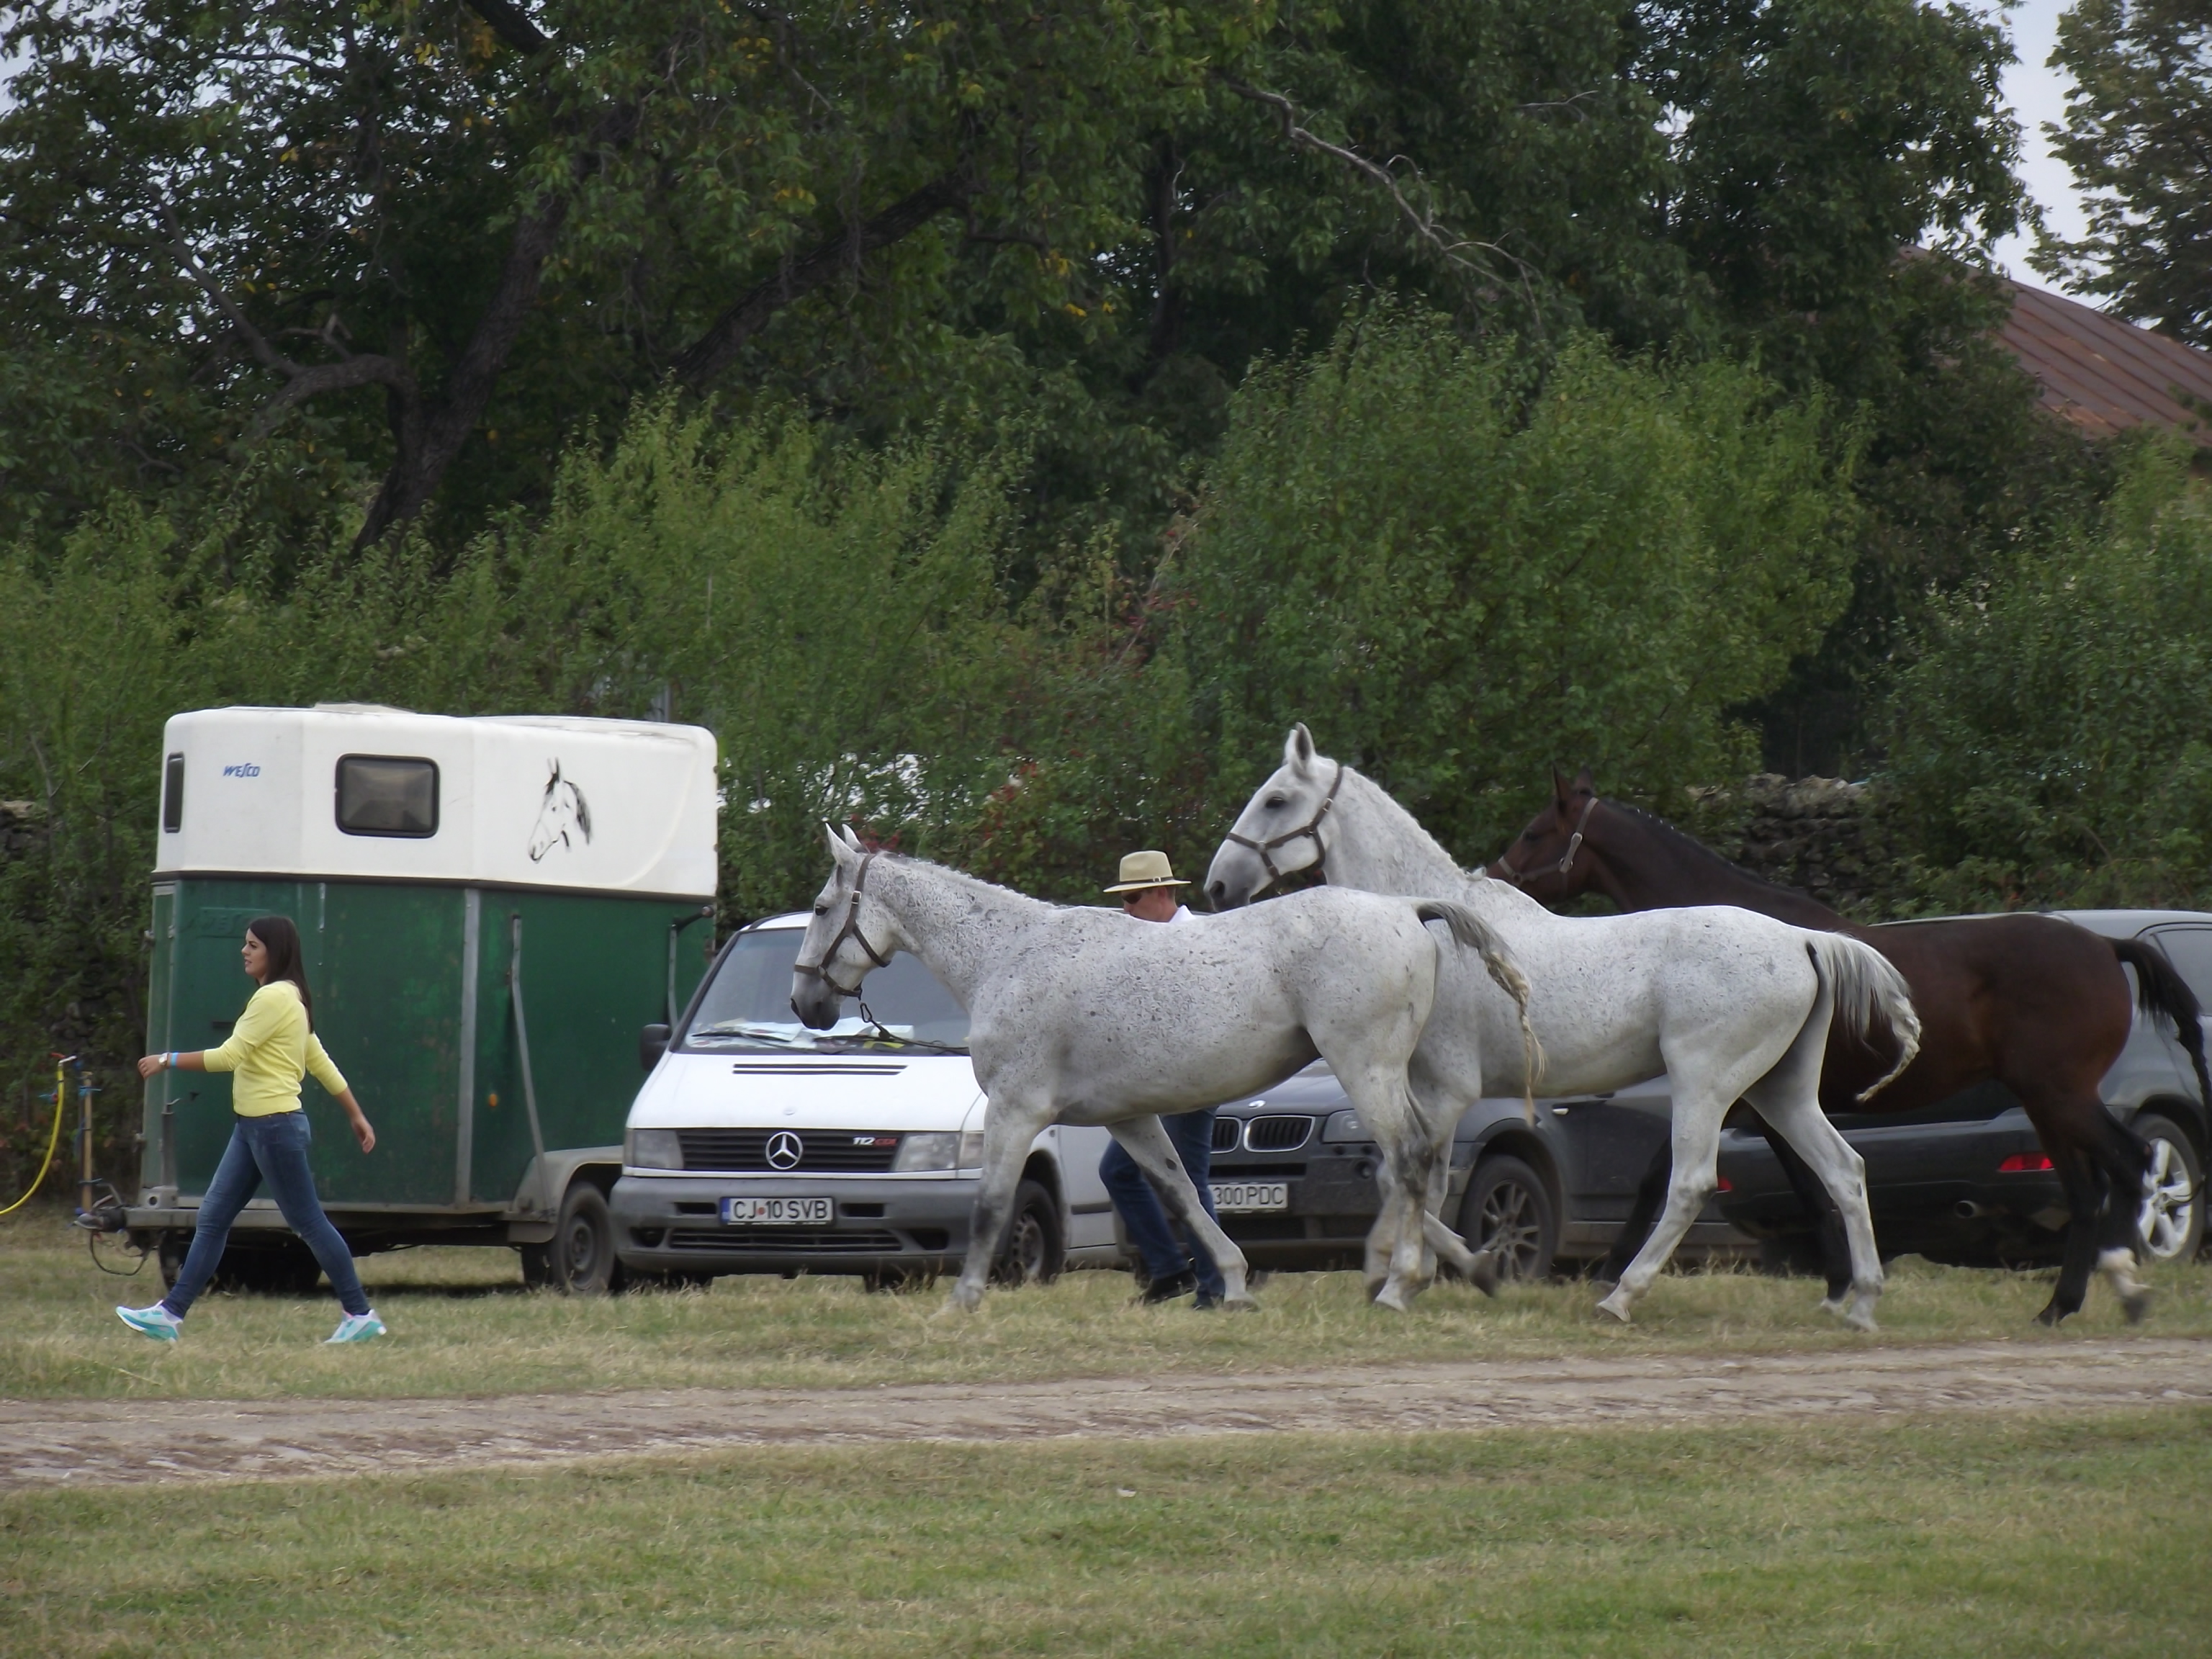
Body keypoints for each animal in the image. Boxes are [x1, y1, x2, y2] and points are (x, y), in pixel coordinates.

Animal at [791, 827, 1539, 1309]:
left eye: (823, 909)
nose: (806, 1003)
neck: (1005, 957)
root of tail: (1404, 909)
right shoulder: (1129, 1119)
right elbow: (1179, 1190)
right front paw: (1232, 1282)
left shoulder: (1015, 1110)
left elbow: (991, 1204)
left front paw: (964, 1299)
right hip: (1388, 1074)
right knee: (1417, 1163)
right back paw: (1465, 1266)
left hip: (1366, 1067)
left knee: (1407, 1159)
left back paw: (1400, 1283)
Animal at [1212, 734, 1920, 1336]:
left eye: (1276, 800)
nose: (1220, 885)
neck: (1425, 923)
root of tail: (1803, 941)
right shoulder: (1416, 1086)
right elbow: (1410, 1181)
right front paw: (1436, 1270)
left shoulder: (1445, 1091)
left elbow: (1413, 1178)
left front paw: (1407, 1278)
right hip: (1781, 1090)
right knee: (1844, 1171)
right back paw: (1860, 1304)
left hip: (1706, 1084)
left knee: (1691, 1183)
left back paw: (1621, 1297)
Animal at [1495, 774, 2203, 1336]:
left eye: (1534, 832)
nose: (1498, 878)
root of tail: (2106, 948)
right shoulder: (1767, 1102)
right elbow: (1815, 1186)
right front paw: (1842, 1289)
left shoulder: (1733, 1097)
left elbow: (1670, 1179)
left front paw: (1613, 1275)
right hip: (2047, 1103)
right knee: (2087, 1191)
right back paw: (2064, 1305)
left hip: (2060, 1096)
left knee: (2132, 1164)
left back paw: (2124, 1286)